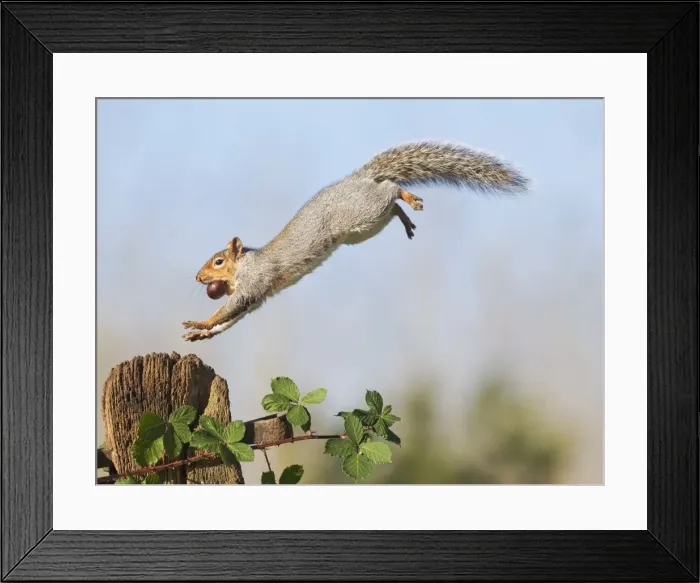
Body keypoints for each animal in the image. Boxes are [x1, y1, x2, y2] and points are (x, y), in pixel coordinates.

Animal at [182, 140, 528, 341]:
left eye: (218, 261)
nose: (198, 278)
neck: (243, 267)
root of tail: (358, 179)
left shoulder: (254, 284)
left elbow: (230, 308)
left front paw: (200, 323)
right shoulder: (257, 297)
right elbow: (231, 319)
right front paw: (204, 333)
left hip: (364, 213)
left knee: (391, 188)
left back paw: (409, 198)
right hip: (367, 226)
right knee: (392, 203)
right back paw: (406, 218)